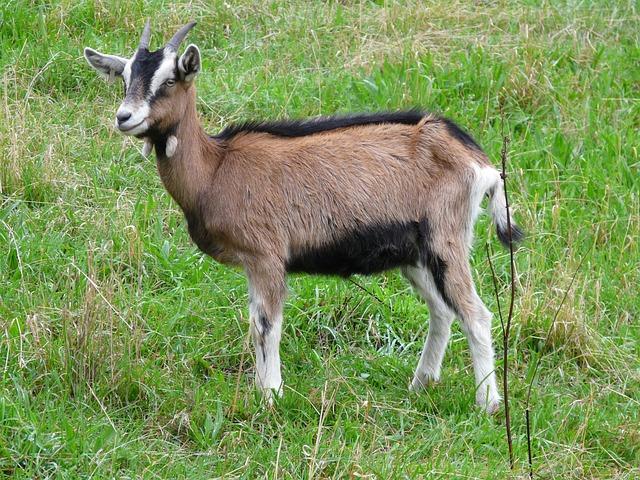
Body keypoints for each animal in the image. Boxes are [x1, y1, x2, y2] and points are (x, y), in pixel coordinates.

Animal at [85, 21, 524, 412]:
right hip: (414, 253)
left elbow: (265, 324)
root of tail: (478, 160)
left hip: (445, 239)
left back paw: (487, 404)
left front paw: (271, 398)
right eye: (124, 77)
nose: (124, 117)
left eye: (170, 80)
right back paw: (420, 385)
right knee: (442, 311)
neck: (215, 169)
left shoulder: (266, 256)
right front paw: (266, 394)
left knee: (476, 314)